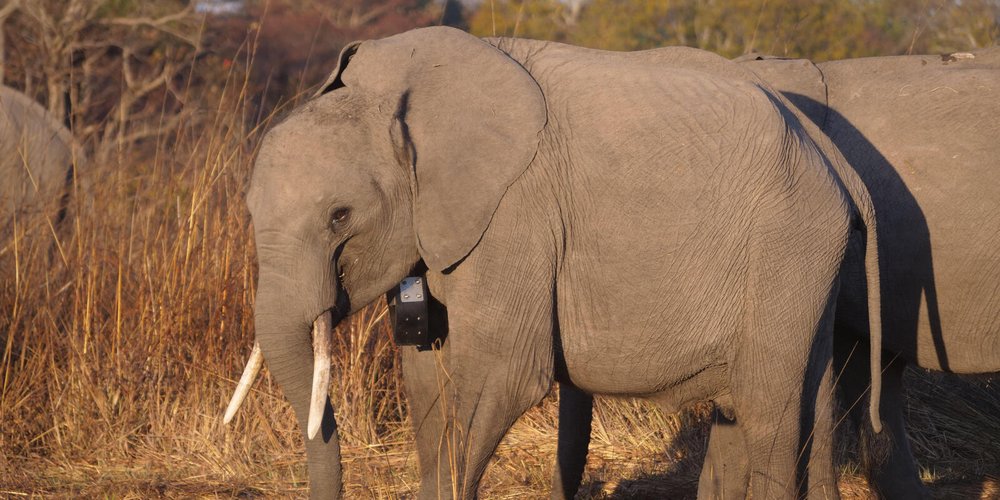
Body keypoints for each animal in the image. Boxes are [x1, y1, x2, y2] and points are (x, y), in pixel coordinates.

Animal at [223, 27, 885, 499]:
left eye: (339, 217)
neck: (398, 101)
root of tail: (835, 156)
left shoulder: (518, 213)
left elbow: (501, 371)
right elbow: (426, 373)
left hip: (786, 246)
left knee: (769, 409)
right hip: (806, 260)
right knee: (807, 401)